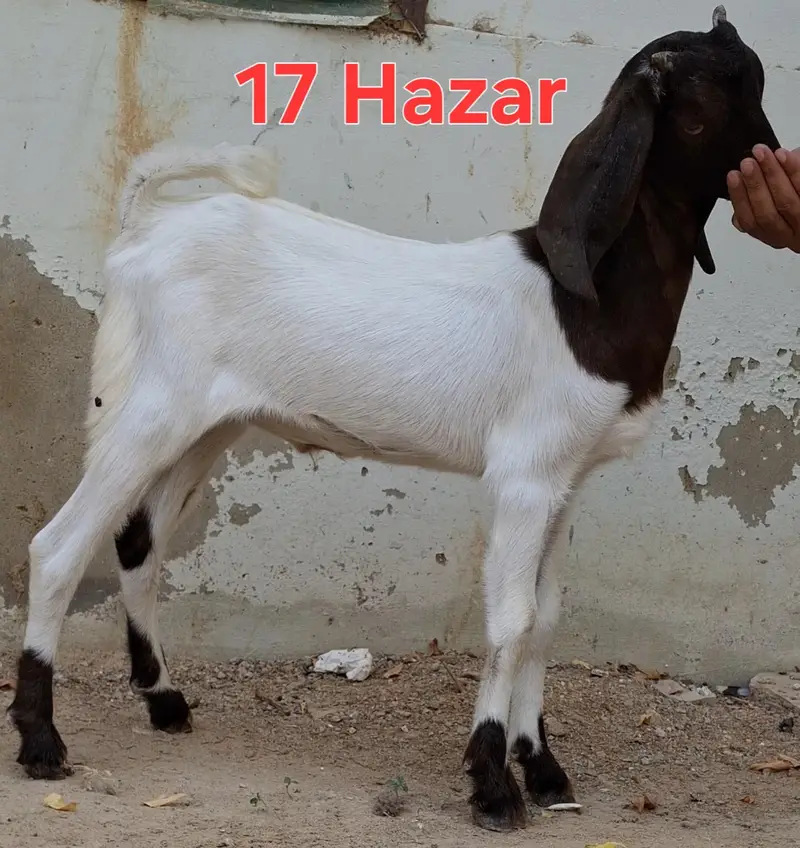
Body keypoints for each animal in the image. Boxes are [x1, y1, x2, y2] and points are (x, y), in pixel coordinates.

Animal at [8, 5, 781, 833]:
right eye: (728, 90)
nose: (777, 161)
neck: (584, 302)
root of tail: (141, 230)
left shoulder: (568, 482)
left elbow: (544, 619)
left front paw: (543, 768)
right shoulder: (523, 478)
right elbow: (510, 620)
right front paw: (493, 782)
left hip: (203, 427)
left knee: (138, 544)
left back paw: (163, 700)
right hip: (147, 409)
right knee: (59, 547)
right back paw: (42, 741)